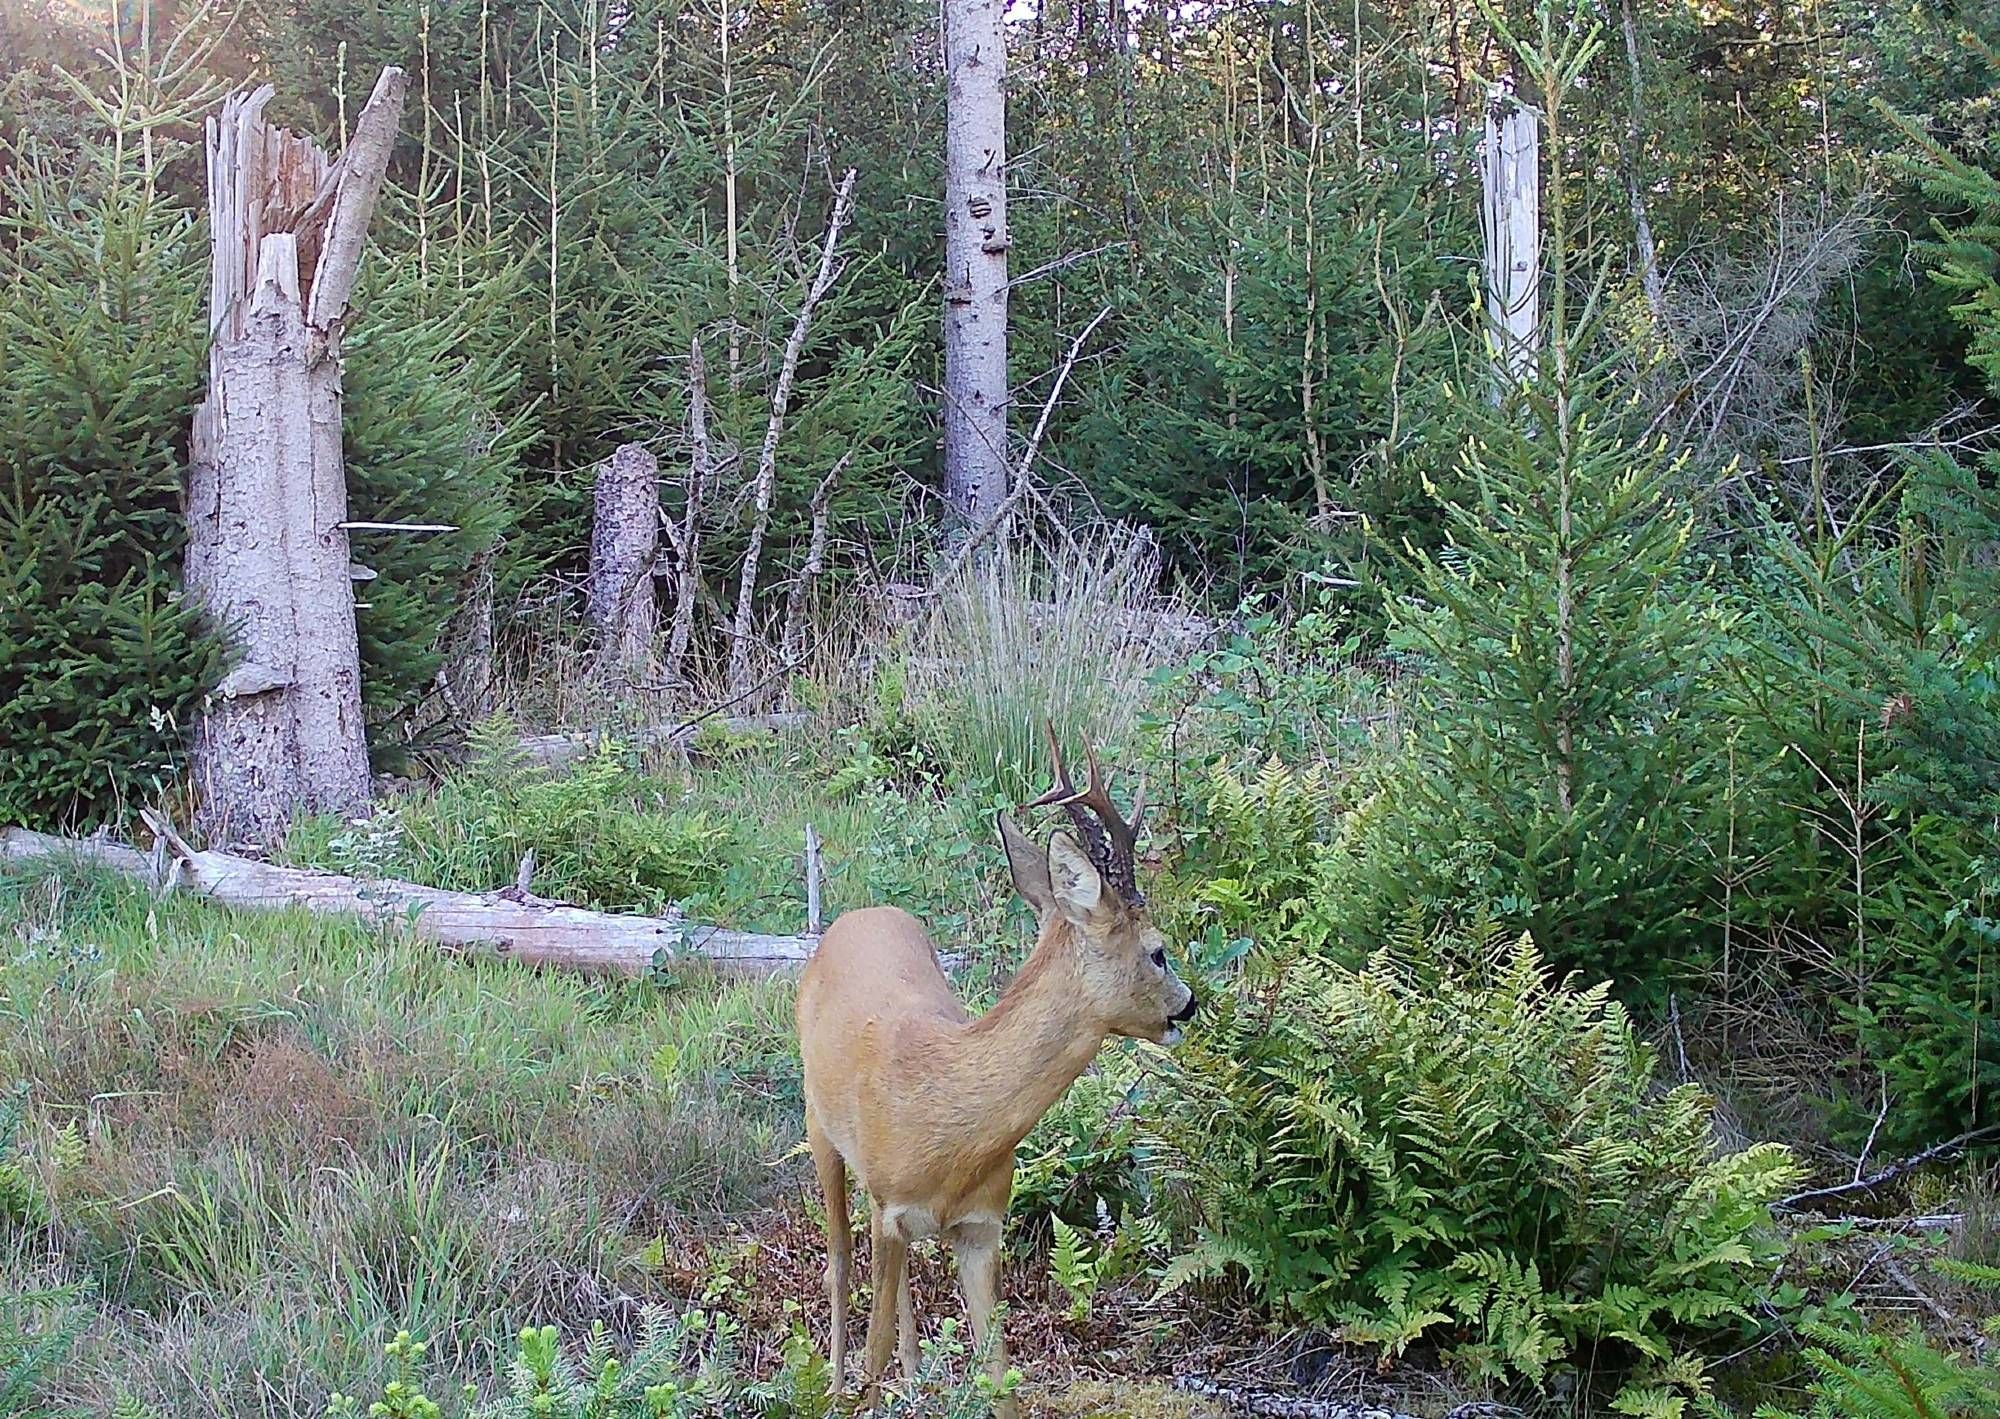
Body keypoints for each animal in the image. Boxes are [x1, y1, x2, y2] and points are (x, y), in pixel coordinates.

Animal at [792, 727, 1192, 1415]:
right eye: (1158, 951)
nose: (1187, 1005)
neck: (952, 1125)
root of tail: (853, 917)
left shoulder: (981, 1227)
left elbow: (1000, 1374)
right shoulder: (891, 1206)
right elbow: (873, 1351)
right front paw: (864, 1387)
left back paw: (917, 1375)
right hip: (820, 1125)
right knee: (839, 1256)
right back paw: (838, 1382)